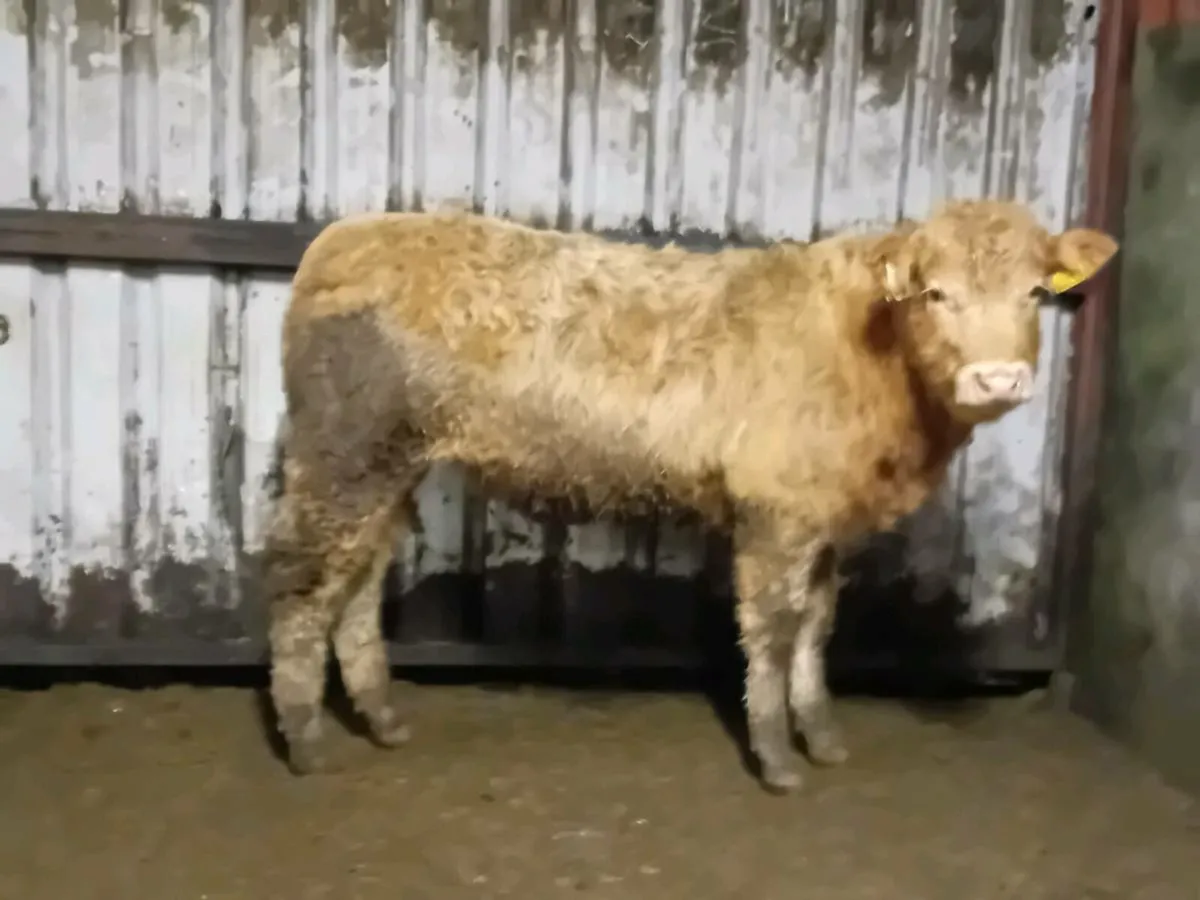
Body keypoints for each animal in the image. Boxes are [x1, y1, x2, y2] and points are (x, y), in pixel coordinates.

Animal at [263, 200, 1118, 792]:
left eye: (1036, 292)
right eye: (934, 293)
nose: (998, 378)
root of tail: (345, 235)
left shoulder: (826, 520)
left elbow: (816, 626)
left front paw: (822, 736)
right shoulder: (776, 511)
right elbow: (772, 629)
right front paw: (776, 759)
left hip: (390, 465)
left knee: (358, 581)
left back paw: (382, 720)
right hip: (344, 450)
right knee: (302, 581)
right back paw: (304, 741)